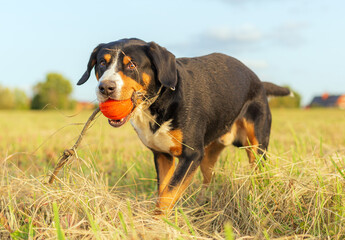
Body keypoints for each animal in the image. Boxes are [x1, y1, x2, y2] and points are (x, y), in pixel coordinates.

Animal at [76, 38, 288, 214]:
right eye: (102, 63)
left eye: (132, 64)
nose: (105, 87)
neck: (157, 104)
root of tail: (259, 81)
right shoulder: (162, 155)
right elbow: (163, 191)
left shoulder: (191, 155)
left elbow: (169, 193)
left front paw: (156, 225)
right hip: (208, 155)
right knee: (208, 179)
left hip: (256, 146)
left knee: (258, 172)